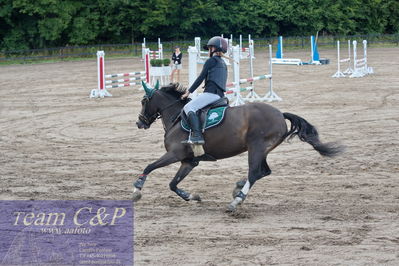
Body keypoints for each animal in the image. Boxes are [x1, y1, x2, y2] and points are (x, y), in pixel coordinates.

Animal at [134, 83, 344, 212]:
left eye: (144, 101)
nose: (139, 123)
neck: (177, 117)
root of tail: (280, 114)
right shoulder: (188, 161)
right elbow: (173, 183)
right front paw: (191, 196)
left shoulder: (174, 154)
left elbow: (149, 167)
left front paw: (137, 189)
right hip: (262, 150)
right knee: (263, 172)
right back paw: (238, 188)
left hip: (256, 148)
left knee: (255, 172)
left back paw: (236, 200)